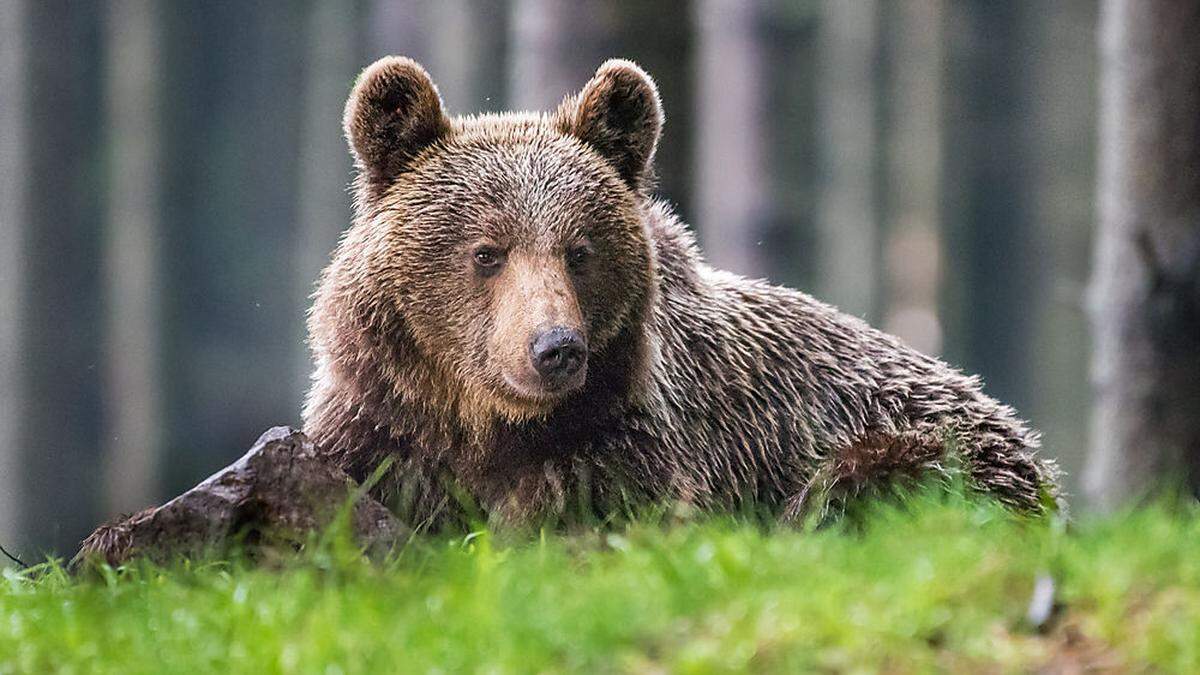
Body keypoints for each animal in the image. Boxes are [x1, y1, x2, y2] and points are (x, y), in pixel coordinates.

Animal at [302, 56, 1060, 526]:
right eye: (487, 252)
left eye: (579, 251)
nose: (556, 348)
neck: (486, 425)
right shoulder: (383, 426)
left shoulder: (632, 447)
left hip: (935, 447)